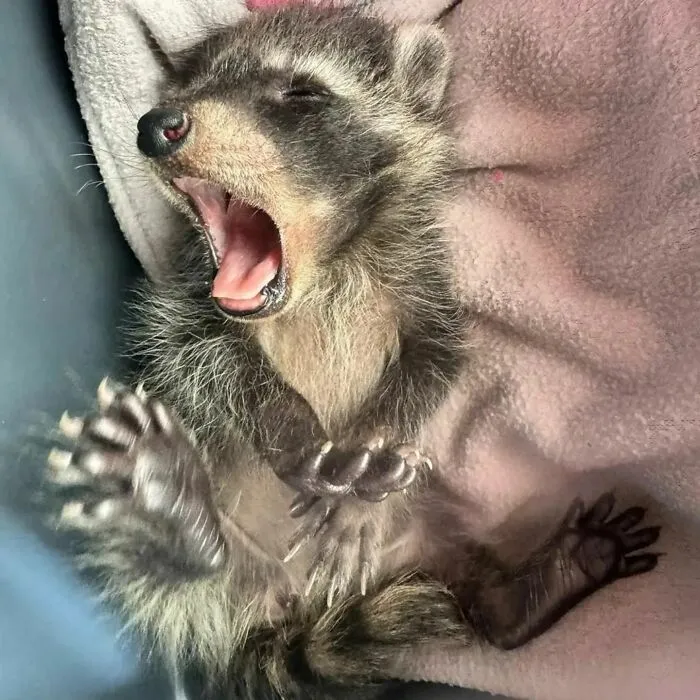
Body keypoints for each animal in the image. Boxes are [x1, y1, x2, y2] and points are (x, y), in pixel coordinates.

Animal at [46, 4, 661, 699]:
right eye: (186, 89)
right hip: (197, 569)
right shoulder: (186, 298)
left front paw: (365, 478)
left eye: (300, 93)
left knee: (472, 600)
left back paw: (533, 588)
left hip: (436, 533)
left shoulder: (425, 277)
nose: (157, 126)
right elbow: (204, 357)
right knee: (172, 577)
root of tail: (281, 610)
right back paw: (176, 511)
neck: (325, 265)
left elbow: (433, 362)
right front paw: (291, 429)